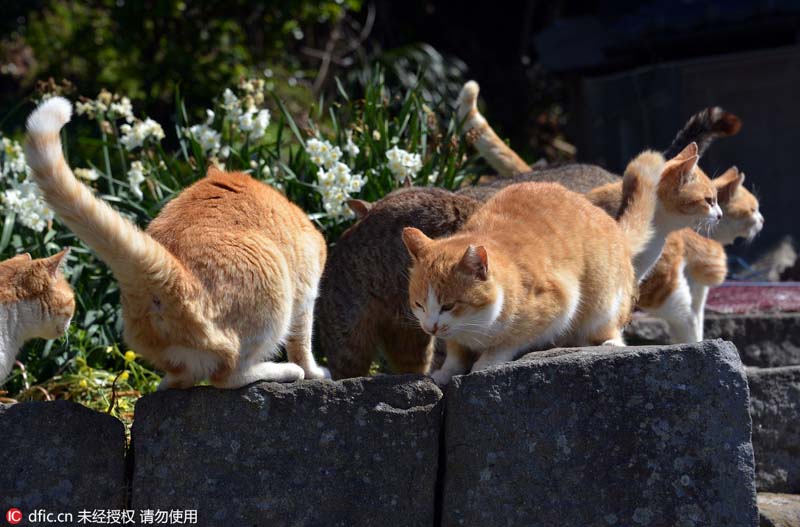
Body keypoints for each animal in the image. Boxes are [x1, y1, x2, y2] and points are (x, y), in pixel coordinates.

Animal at [27, 99, 328, 390]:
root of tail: (175, 276)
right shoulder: (306, 292)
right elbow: (302, 341)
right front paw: (315, 372)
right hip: (274, 295)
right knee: (228, 376)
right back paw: (285, 371)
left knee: (183, 378)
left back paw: (167, 383)